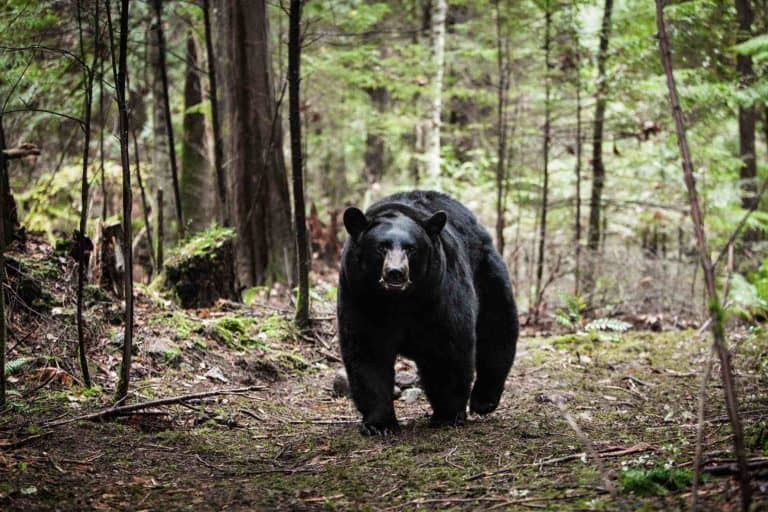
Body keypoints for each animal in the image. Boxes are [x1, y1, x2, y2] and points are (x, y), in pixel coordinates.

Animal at [340, 190, 520, 434]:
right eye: (381, 247)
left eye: (411, 248)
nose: (395, 273)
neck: (398, 301)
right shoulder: (359, 296)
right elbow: (368, 353)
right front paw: (379, 423)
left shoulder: (438, 295)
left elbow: (447, 349)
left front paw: (447, 414)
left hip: (487, 272)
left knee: (497, 328)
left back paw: (484, 400)